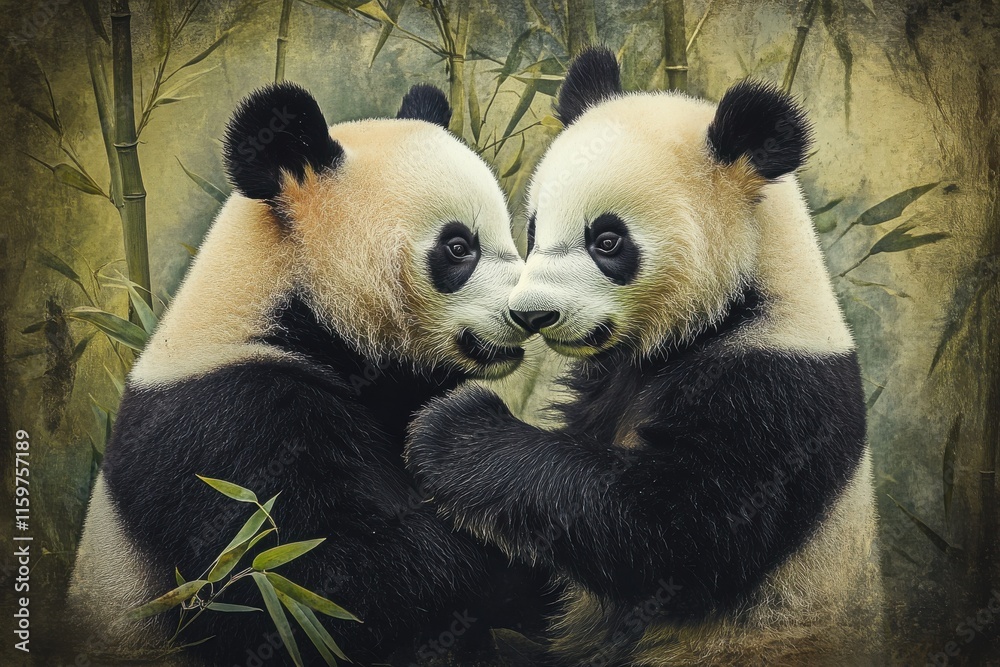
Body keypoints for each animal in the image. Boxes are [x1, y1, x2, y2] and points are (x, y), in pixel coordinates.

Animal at [67, 82, 543, 666]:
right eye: (458, 247)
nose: (531, 314)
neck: (285, 313)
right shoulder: (230, 429)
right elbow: (321, 582)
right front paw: (514, 572)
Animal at [405, 48, 884, 666]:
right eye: (534, 229)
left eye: (608, 241)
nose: (534, 315)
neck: (739, 300)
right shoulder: (610, 377)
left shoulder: (779, 390)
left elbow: (672, 534)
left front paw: (454, 429)